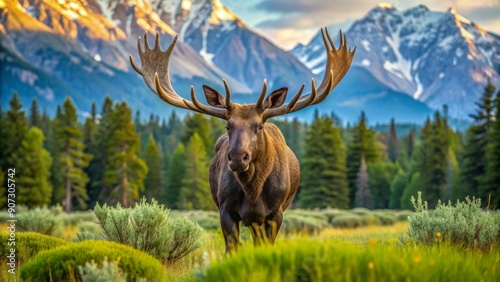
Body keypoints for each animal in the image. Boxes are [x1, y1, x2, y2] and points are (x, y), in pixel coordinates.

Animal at [129, 28, 356, 251]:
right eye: (228, 125)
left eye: (259, 126)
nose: (238, 158)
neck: (253, 190)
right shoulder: (226, 210)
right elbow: (232, 248)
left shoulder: (276, 213)